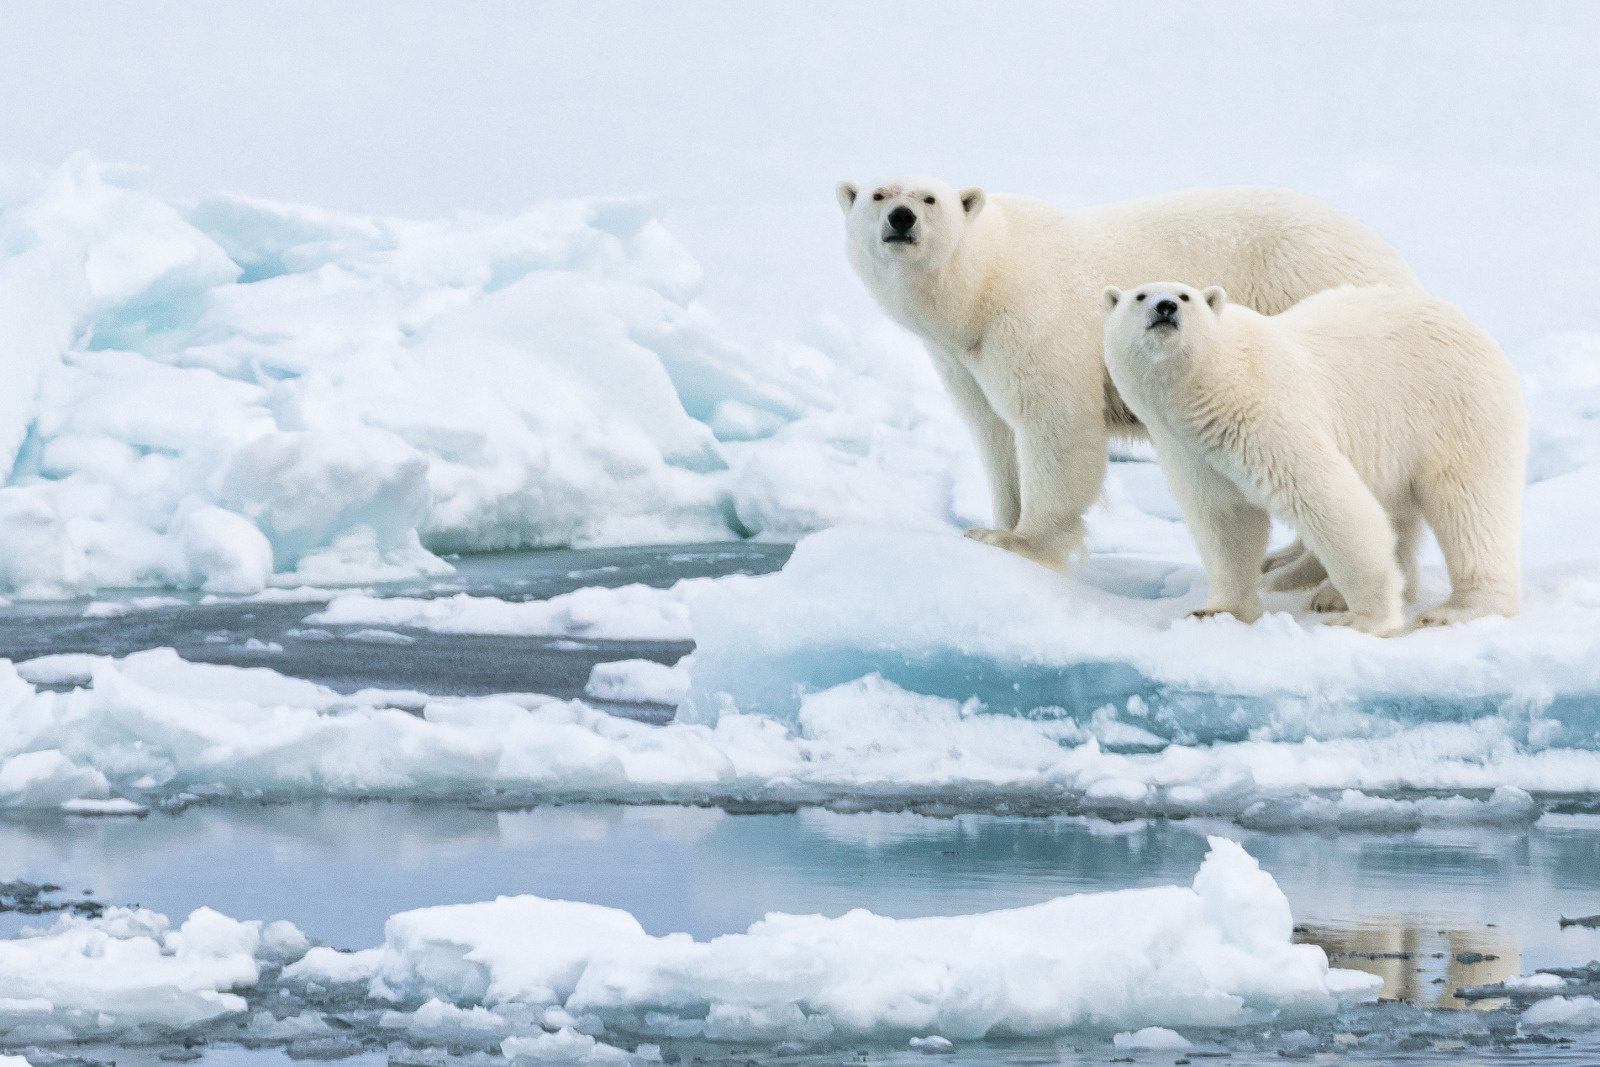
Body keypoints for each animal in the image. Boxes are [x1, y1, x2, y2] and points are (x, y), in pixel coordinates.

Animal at [836, 177, 1421, 572]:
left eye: (929, 198)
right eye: (879, 194)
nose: (902, 219)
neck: (983, 280)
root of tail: (1395, 263)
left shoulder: (1034, 319)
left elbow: (1054, 425)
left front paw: (1019, 542)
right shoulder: (962, 358)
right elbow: (994, 432)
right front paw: (995, 523)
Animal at [1099, 281, 1526, 636]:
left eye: (1185, 296)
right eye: (1140, 296)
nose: (1166, 307)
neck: (1214, 386)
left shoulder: (1267, 416)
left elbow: (1328, 502)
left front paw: (1364, 619)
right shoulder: (1190, 452)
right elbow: (1226, 522)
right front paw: (1216, 612)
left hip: (1455, 409)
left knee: (1468, 506)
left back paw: (1452, 609)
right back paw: (1307, 582)